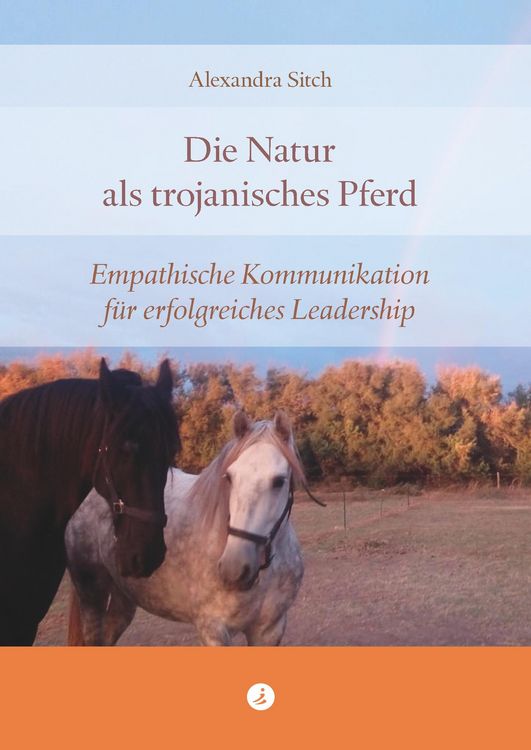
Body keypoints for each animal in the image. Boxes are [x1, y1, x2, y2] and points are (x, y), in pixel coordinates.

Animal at [66, 411, 315, 646]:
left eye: (279, 481)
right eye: (230, 478)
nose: (234, 569)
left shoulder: (269, 631)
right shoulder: (213, 630)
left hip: (123, 594)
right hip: (91, 595)